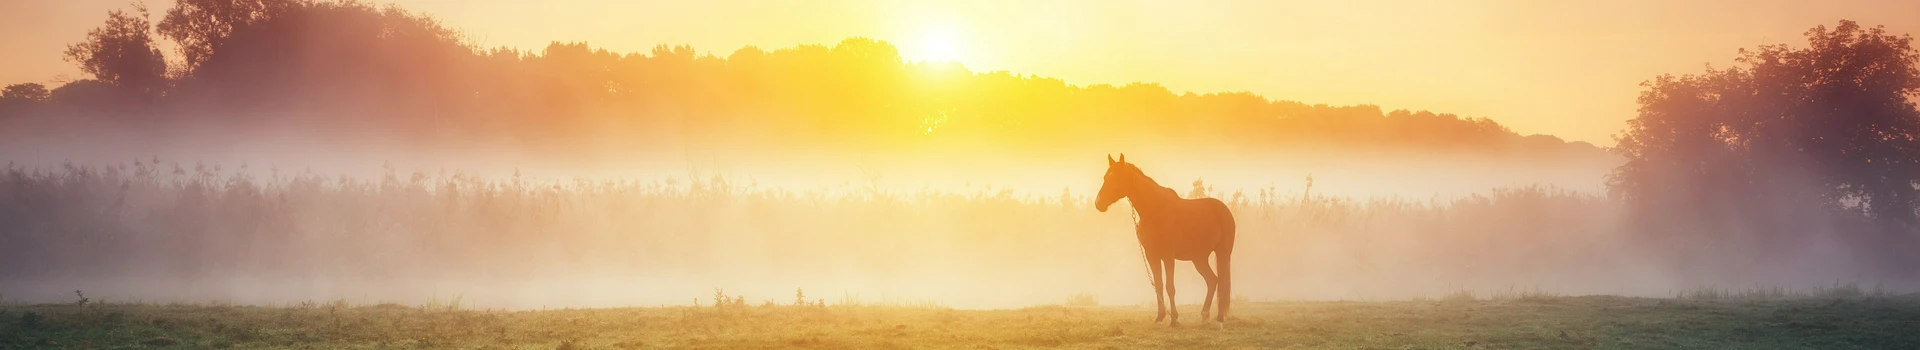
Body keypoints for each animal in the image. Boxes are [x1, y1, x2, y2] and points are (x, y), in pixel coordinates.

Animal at [1090, 152, 1236, 328]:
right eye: (1105, 177)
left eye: (1117, 177)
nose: (1099, 203)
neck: (1154, 210)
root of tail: (1225, 210)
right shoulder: (1152, 255)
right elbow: (1158, 286)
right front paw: (1160, 317)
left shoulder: (1168, 256)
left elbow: (1169, 287)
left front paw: (1174, 319)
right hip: (1199, 258)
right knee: (1212, 281)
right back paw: (1204, 315)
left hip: (1223, 254)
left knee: (1222, 283)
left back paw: (1219, 320)